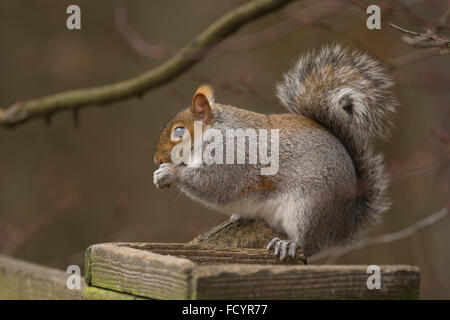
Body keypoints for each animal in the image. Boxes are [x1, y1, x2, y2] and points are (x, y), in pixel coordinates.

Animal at [154, 44, 398, 260]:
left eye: (179, 131)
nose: (156, 159)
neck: (214, 131)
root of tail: (345, 225)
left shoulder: (232, 153)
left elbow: (214, 184)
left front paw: (170, 173)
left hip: (309, 208)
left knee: (309, 244)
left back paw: (289, 244)